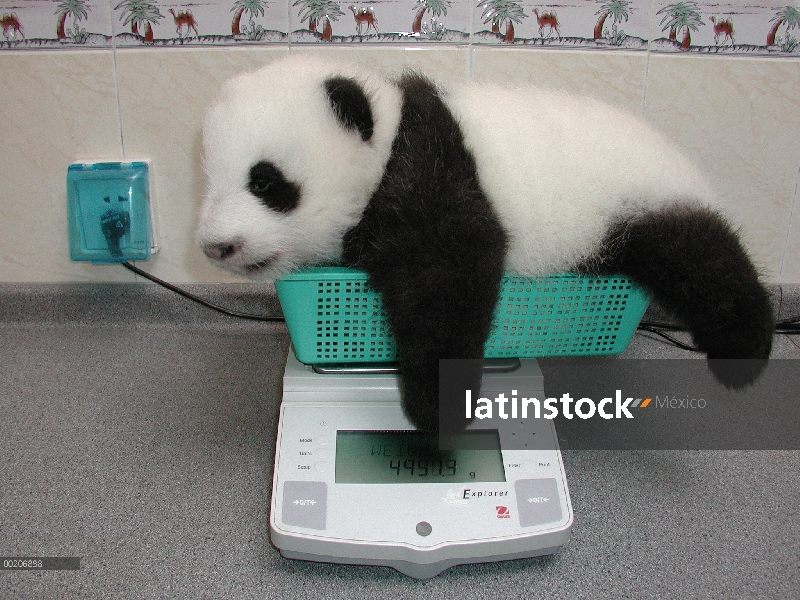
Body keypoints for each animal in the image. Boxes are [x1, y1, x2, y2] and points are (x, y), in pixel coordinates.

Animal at [195, 55, 776, 432]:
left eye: (265, 182)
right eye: (209, 178)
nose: (214, 247)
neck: (387, 136)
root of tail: (681, 157)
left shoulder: (429, 171)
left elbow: (449, 276)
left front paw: (439, 407)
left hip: (640, 195)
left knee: (702, 259)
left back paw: (744, 354)